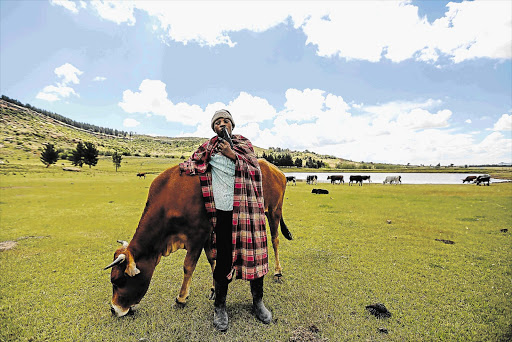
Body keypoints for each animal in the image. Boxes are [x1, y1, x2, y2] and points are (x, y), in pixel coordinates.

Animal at [104, 159, 292, 316]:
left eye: (118, 280)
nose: (113, 309)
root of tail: (276, 170)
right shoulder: (208, 233)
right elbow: (212, 260)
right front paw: (215, 287)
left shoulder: (197, 236)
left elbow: (188, 266)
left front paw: (181, 298)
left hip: (274, 211)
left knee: (275, 240)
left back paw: (277, 271)